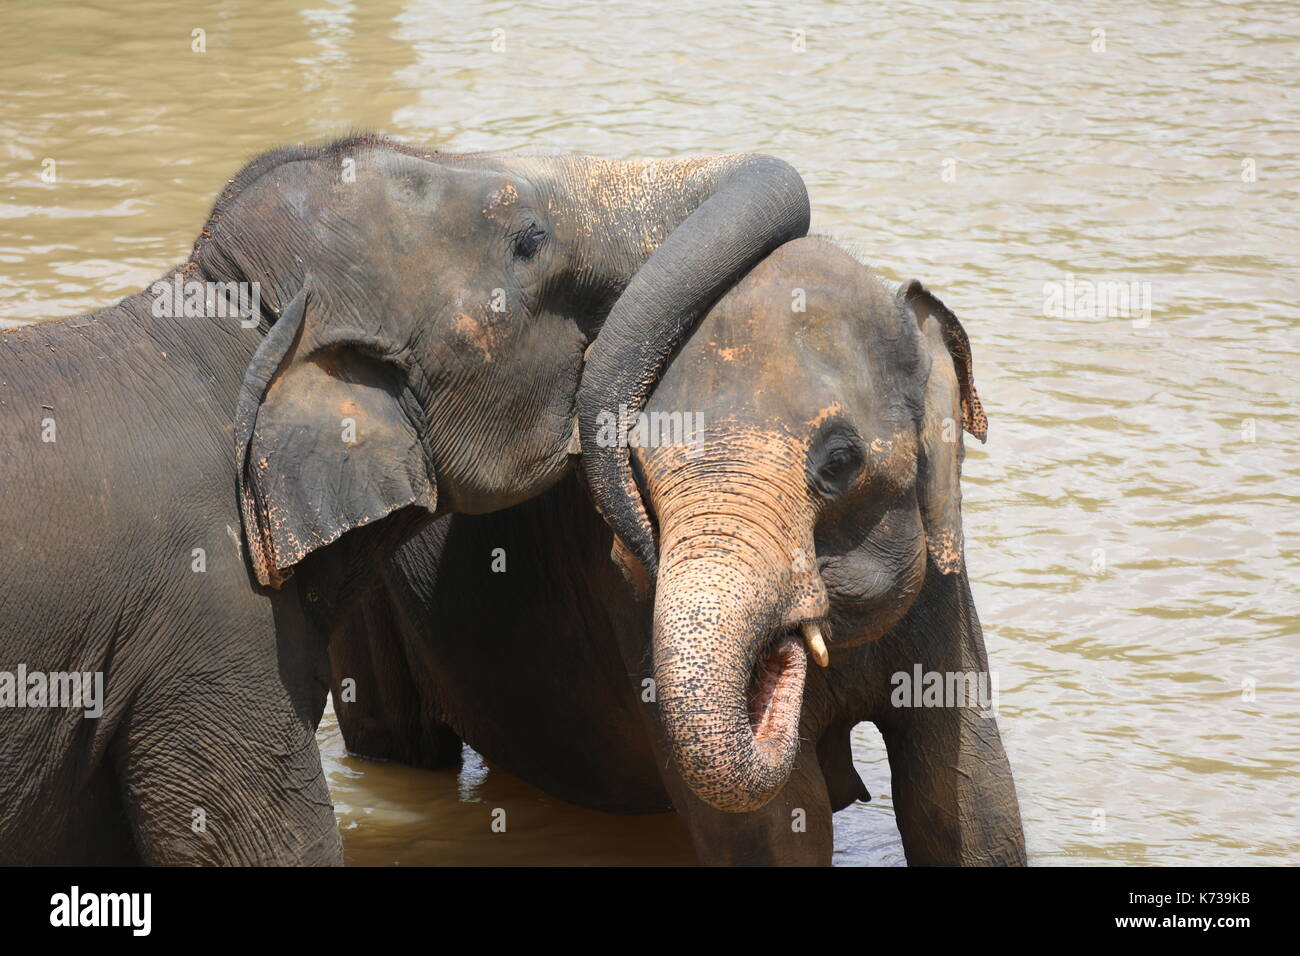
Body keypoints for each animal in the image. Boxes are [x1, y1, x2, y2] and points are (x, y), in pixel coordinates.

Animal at [327, 235, 1024, 863]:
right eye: (631, 464)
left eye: (840, 461)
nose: (783, 650)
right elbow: (771, 829)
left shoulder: (944, 589)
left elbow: (971, 803)